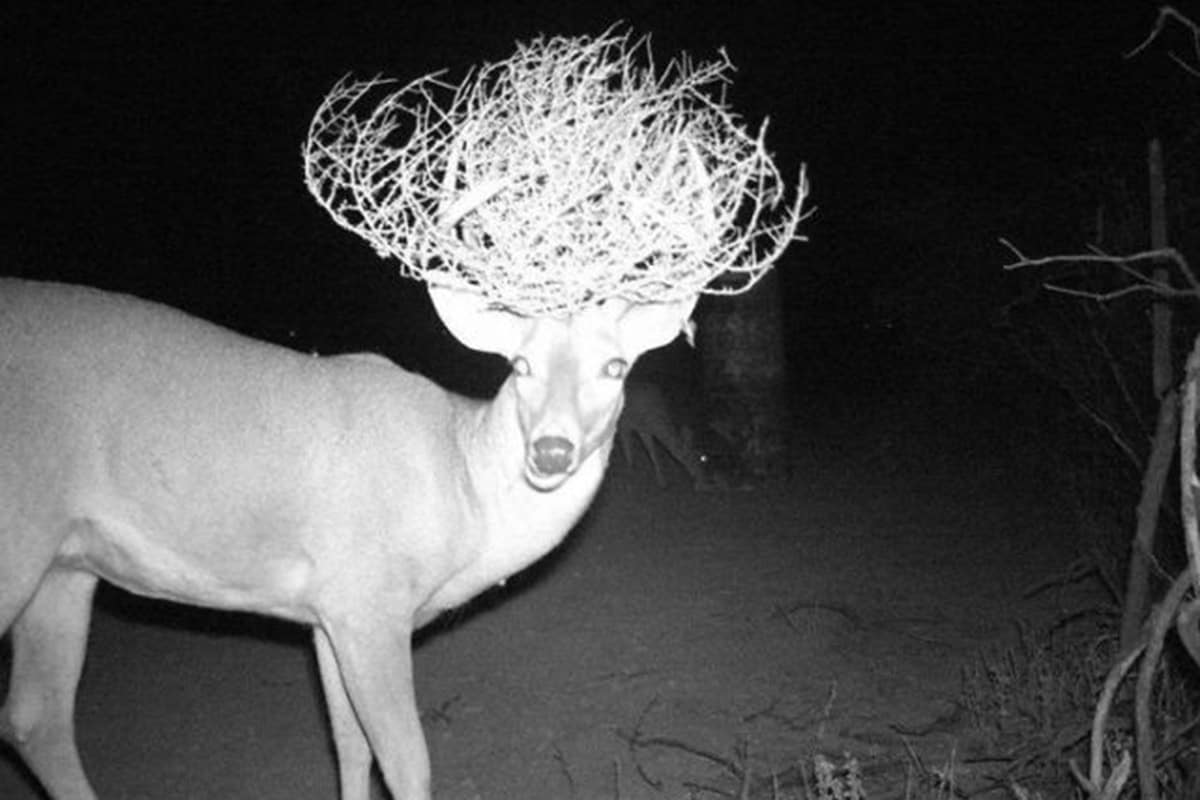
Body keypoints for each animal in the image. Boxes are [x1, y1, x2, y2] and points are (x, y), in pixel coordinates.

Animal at [0, 277, 700, 800]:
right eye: (519, 365)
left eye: (615, 366)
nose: (552, 450)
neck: (463, 496)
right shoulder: (369, 600)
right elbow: (407, 762)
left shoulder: (327, 611)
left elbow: (349, 746)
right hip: (20, 533)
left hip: (67, 565)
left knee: (35, 717)